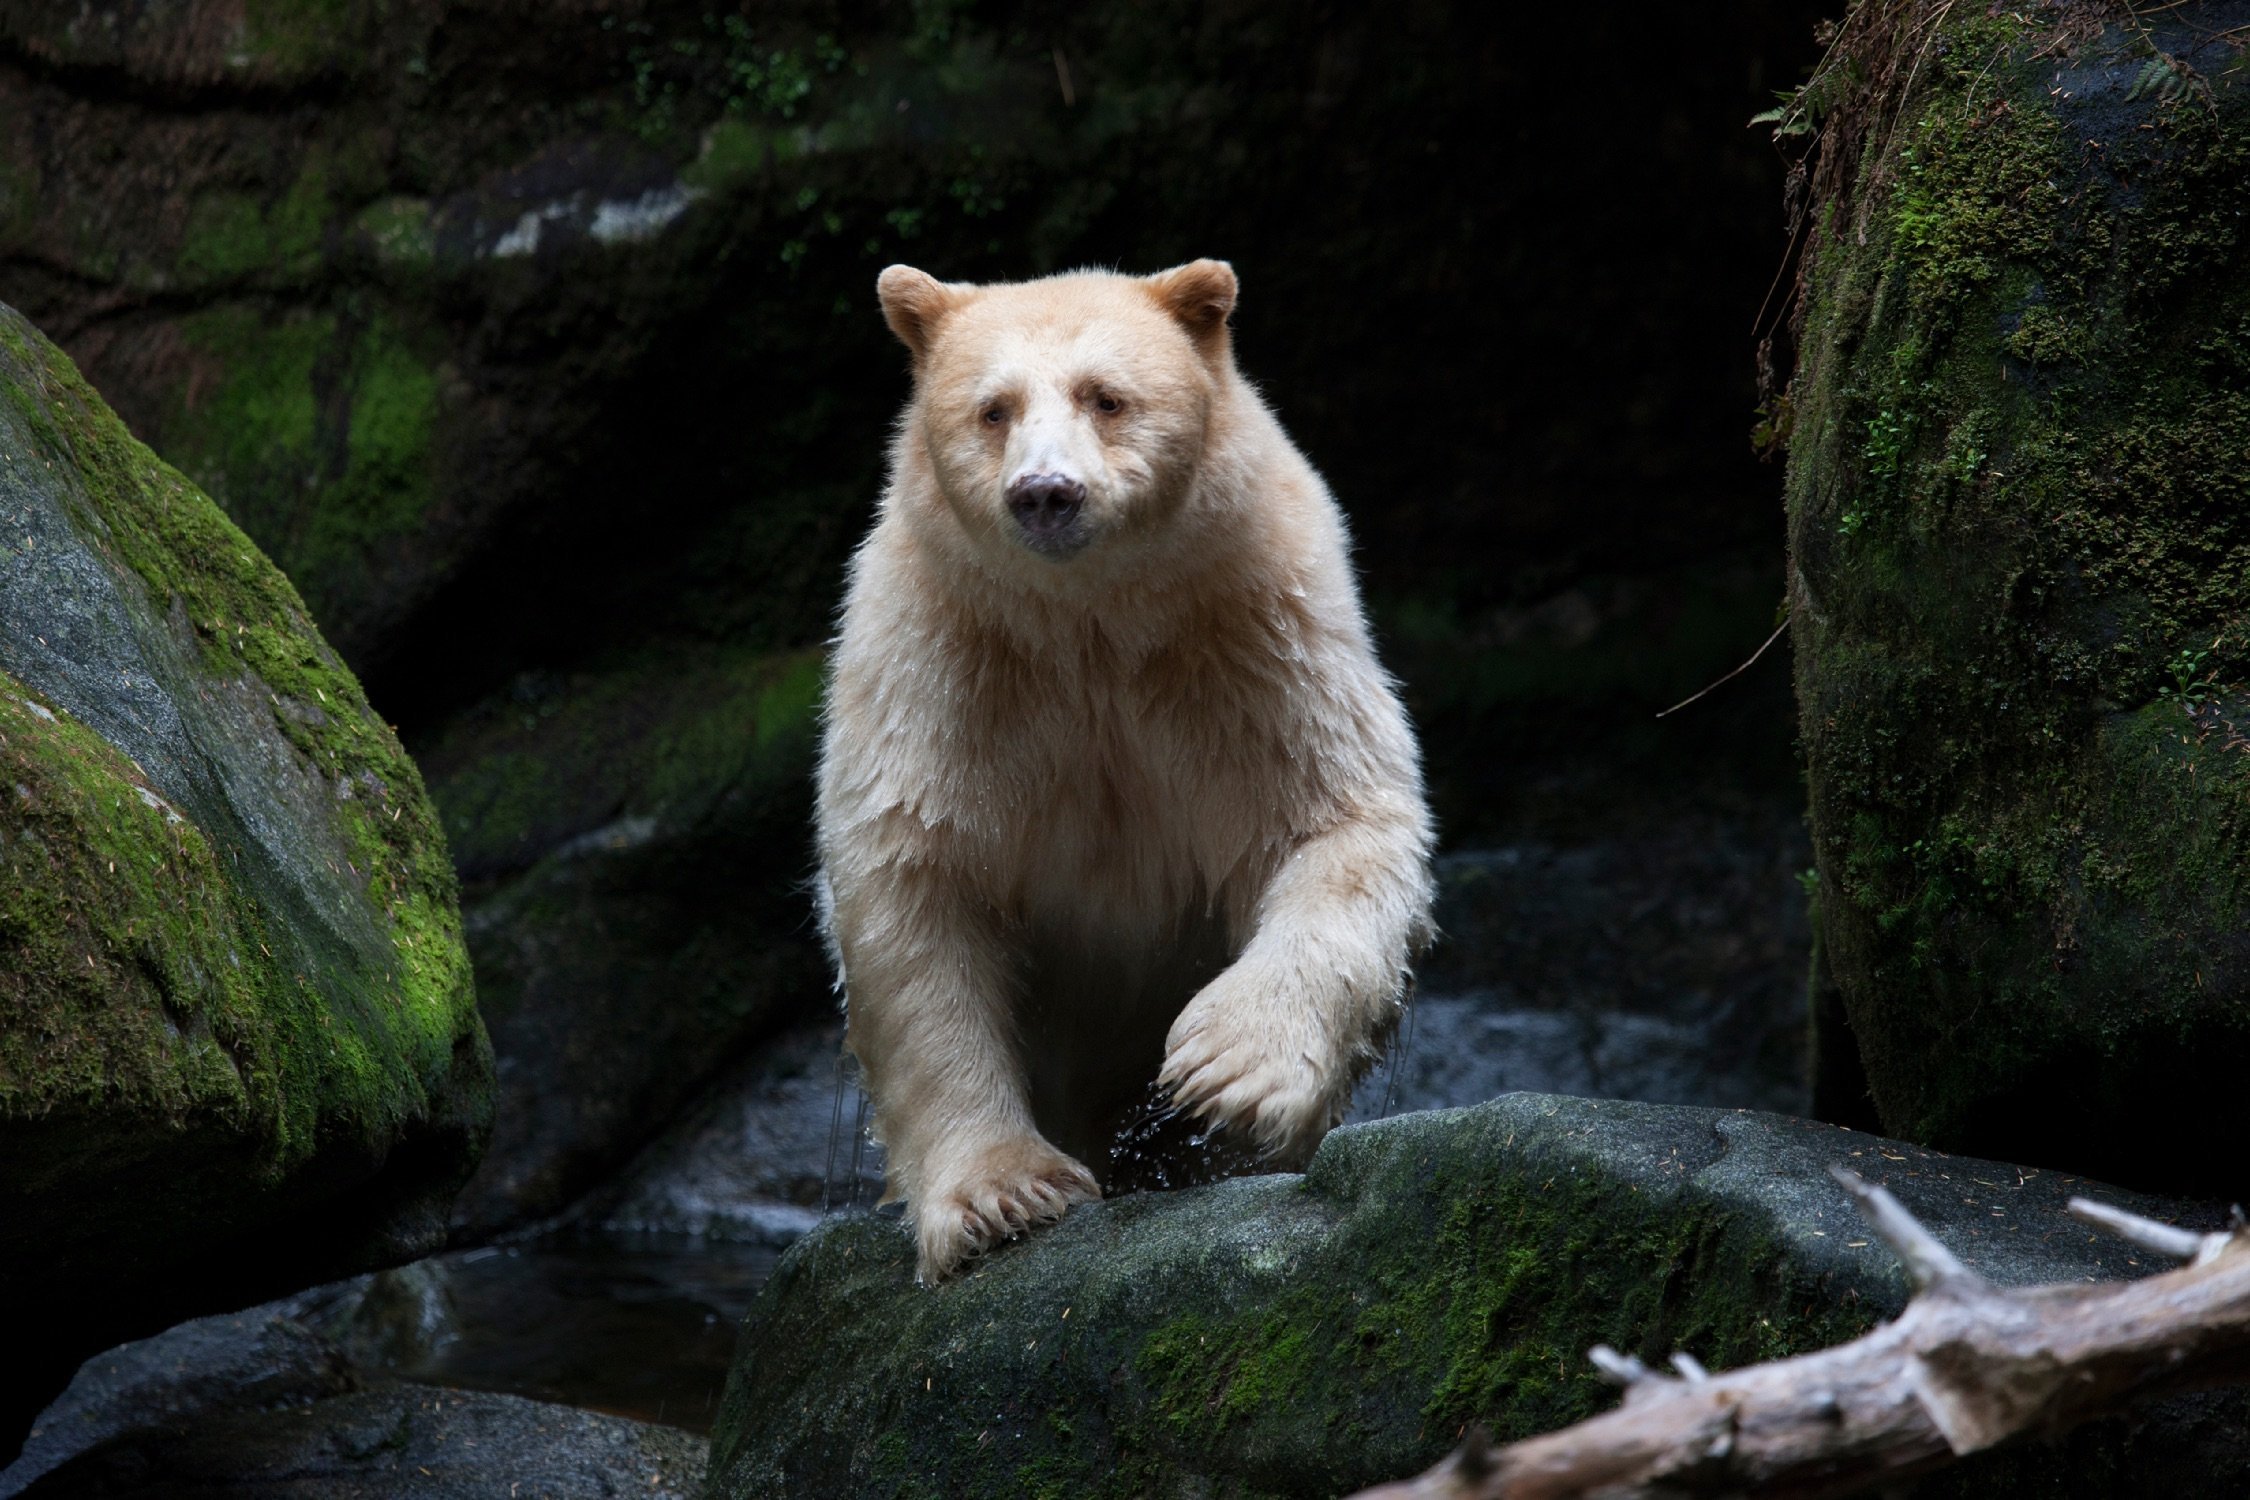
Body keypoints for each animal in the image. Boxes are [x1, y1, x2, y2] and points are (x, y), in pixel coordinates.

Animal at [816, 259, 1436, 1282]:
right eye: (993, 409)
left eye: (1106, 397)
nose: (1046, 493)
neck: (1089, 624)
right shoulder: (942, 667)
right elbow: (918, 889)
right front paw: (1003, 1197)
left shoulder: (1251, 636)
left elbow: (1333, 821)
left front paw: (1225, 1073)